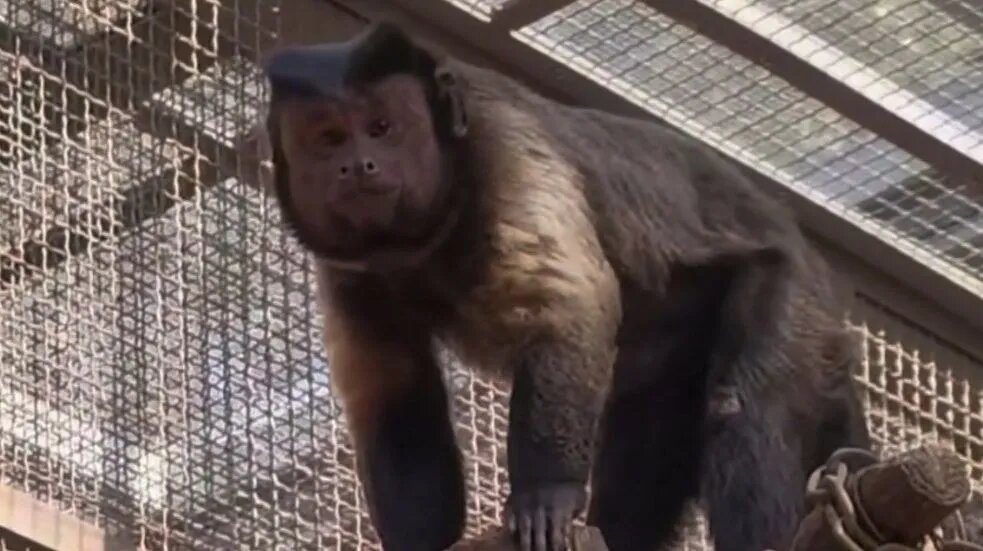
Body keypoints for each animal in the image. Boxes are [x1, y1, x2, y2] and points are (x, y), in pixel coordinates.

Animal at [261, 22, 871, 551]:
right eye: (328, 139)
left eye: (381, 129)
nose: (357, 165)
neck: (424, 246)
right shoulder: (348, 271)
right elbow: (393, 391)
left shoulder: (502, 144)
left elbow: (565, 308)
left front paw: (544, 498)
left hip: (796, 289)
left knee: (742, 404)